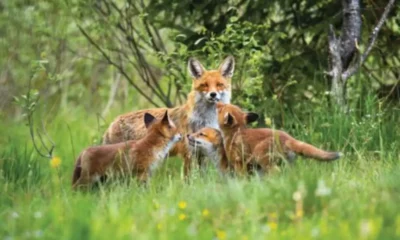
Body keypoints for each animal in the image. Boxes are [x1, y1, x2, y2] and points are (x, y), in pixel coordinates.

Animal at [102, 56, 234, 176]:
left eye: (219, 85)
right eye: (204, 85)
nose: (213, 94)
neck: (205, 119)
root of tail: (113, 122)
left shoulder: (202, 153)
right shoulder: (188, 153)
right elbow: (189, 179)